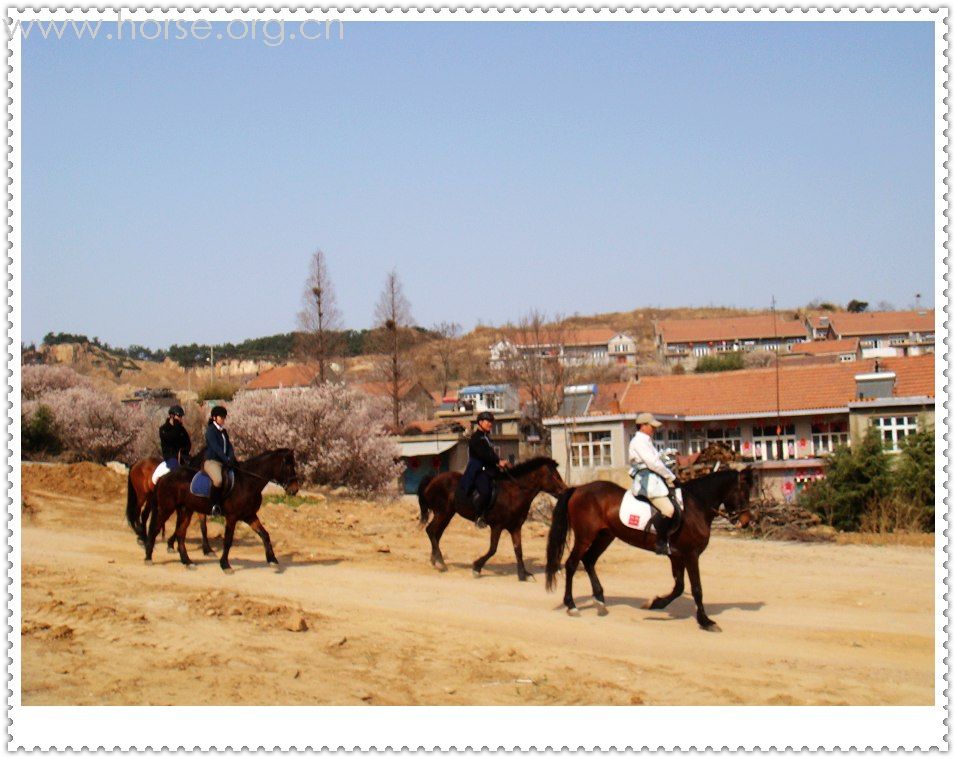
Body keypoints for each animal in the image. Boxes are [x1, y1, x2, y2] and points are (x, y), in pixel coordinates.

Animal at [141, 448, 298, 572]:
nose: (294, 489)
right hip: (166, 508)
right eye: (288, 466)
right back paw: (148, 557)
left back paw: (187, 562)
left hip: (186, 510)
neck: (247, 482)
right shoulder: (232, 517)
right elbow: (228, 540)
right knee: (155, 529)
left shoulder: (249, 515)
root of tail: (164, 477)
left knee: (180, 534)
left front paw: (272, 560)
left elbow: (265, 535)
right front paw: (225, 565)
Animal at [418, 458, 568, 580]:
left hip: (447, 514)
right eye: (555, 476)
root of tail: (433, 480)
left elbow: (518, 550)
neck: (514, 492)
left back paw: (436, 560)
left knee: (436, 533)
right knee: (431, 531)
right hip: (442, 513)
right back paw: (441, 563)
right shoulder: (497, 526)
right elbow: (493, 549)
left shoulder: (515, 527)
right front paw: (476, 568)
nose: (565, 491)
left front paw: (524, 574)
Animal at [544, 470, 756, 628]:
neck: (696, 506)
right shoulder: (691, 555)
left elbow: (679, 587)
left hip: (605, 536)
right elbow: (696, 588)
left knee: (589, 560)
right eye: (743, 492)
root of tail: (578, 489)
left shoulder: (677, 556)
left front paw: (654, 603)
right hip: (585, 537)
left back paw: (600, 602)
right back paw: (571, 605)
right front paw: (705, 621)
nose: (746, 522)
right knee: (572, 564)